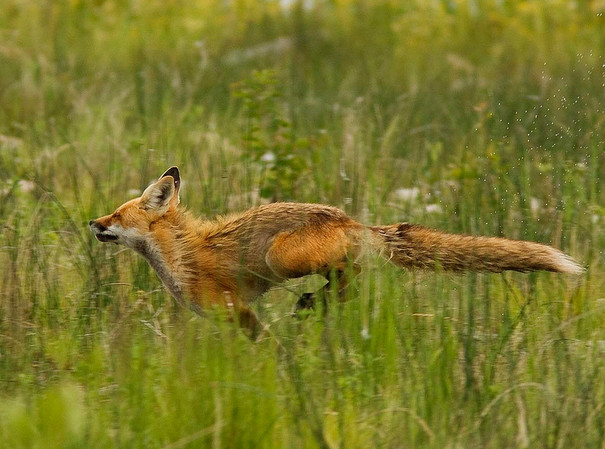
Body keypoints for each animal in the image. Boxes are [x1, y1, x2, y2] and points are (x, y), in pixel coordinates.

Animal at [88, 166, 580, 338]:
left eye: (116, 214)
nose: (92, 223)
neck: (180, 255)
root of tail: (353, 220)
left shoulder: (235, 309)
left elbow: (264, 343)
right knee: (351, 282)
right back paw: (315, 303)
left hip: (281, 257)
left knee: (353, 280)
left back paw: (314, 302)